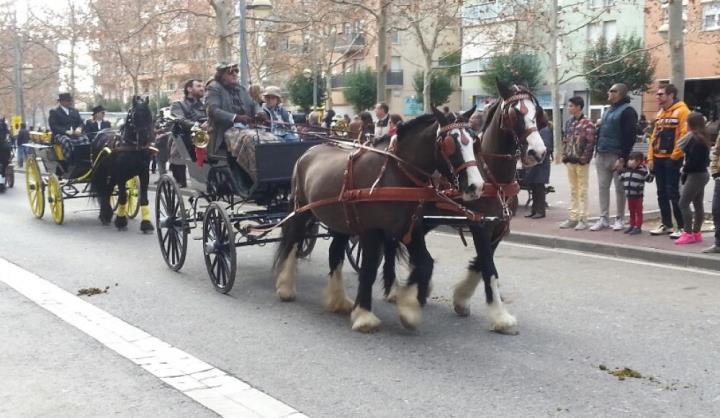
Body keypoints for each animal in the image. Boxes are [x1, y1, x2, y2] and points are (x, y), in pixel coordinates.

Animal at [90, 96, 155, 232]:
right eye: (135, 115)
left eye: (149, 114)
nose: (146, 137)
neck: (132, 147)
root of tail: (98, 135)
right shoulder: (121, 175)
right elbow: (123, 197)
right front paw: (121, 222)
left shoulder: (144, 173)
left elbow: (143, 198)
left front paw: (146, 224)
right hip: (103, 173)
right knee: (103, 191)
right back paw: (105, 215)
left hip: (112, 174)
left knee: (108, 190)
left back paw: (107, 215)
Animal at [272, 108, 486, 334]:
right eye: (450, 144)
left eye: (474, 141)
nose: (476, 186)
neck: (397, 172)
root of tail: (309, 151)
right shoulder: (371, 230)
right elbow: (369, 268)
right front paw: (364, 315)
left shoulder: (410, 228)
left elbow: (425, 263)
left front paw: (409, 308)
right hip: (301, 211)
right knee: (293, 241)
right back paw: (285, 287)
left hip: (340, 220)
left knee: (335, 253)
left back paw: (338, 300)